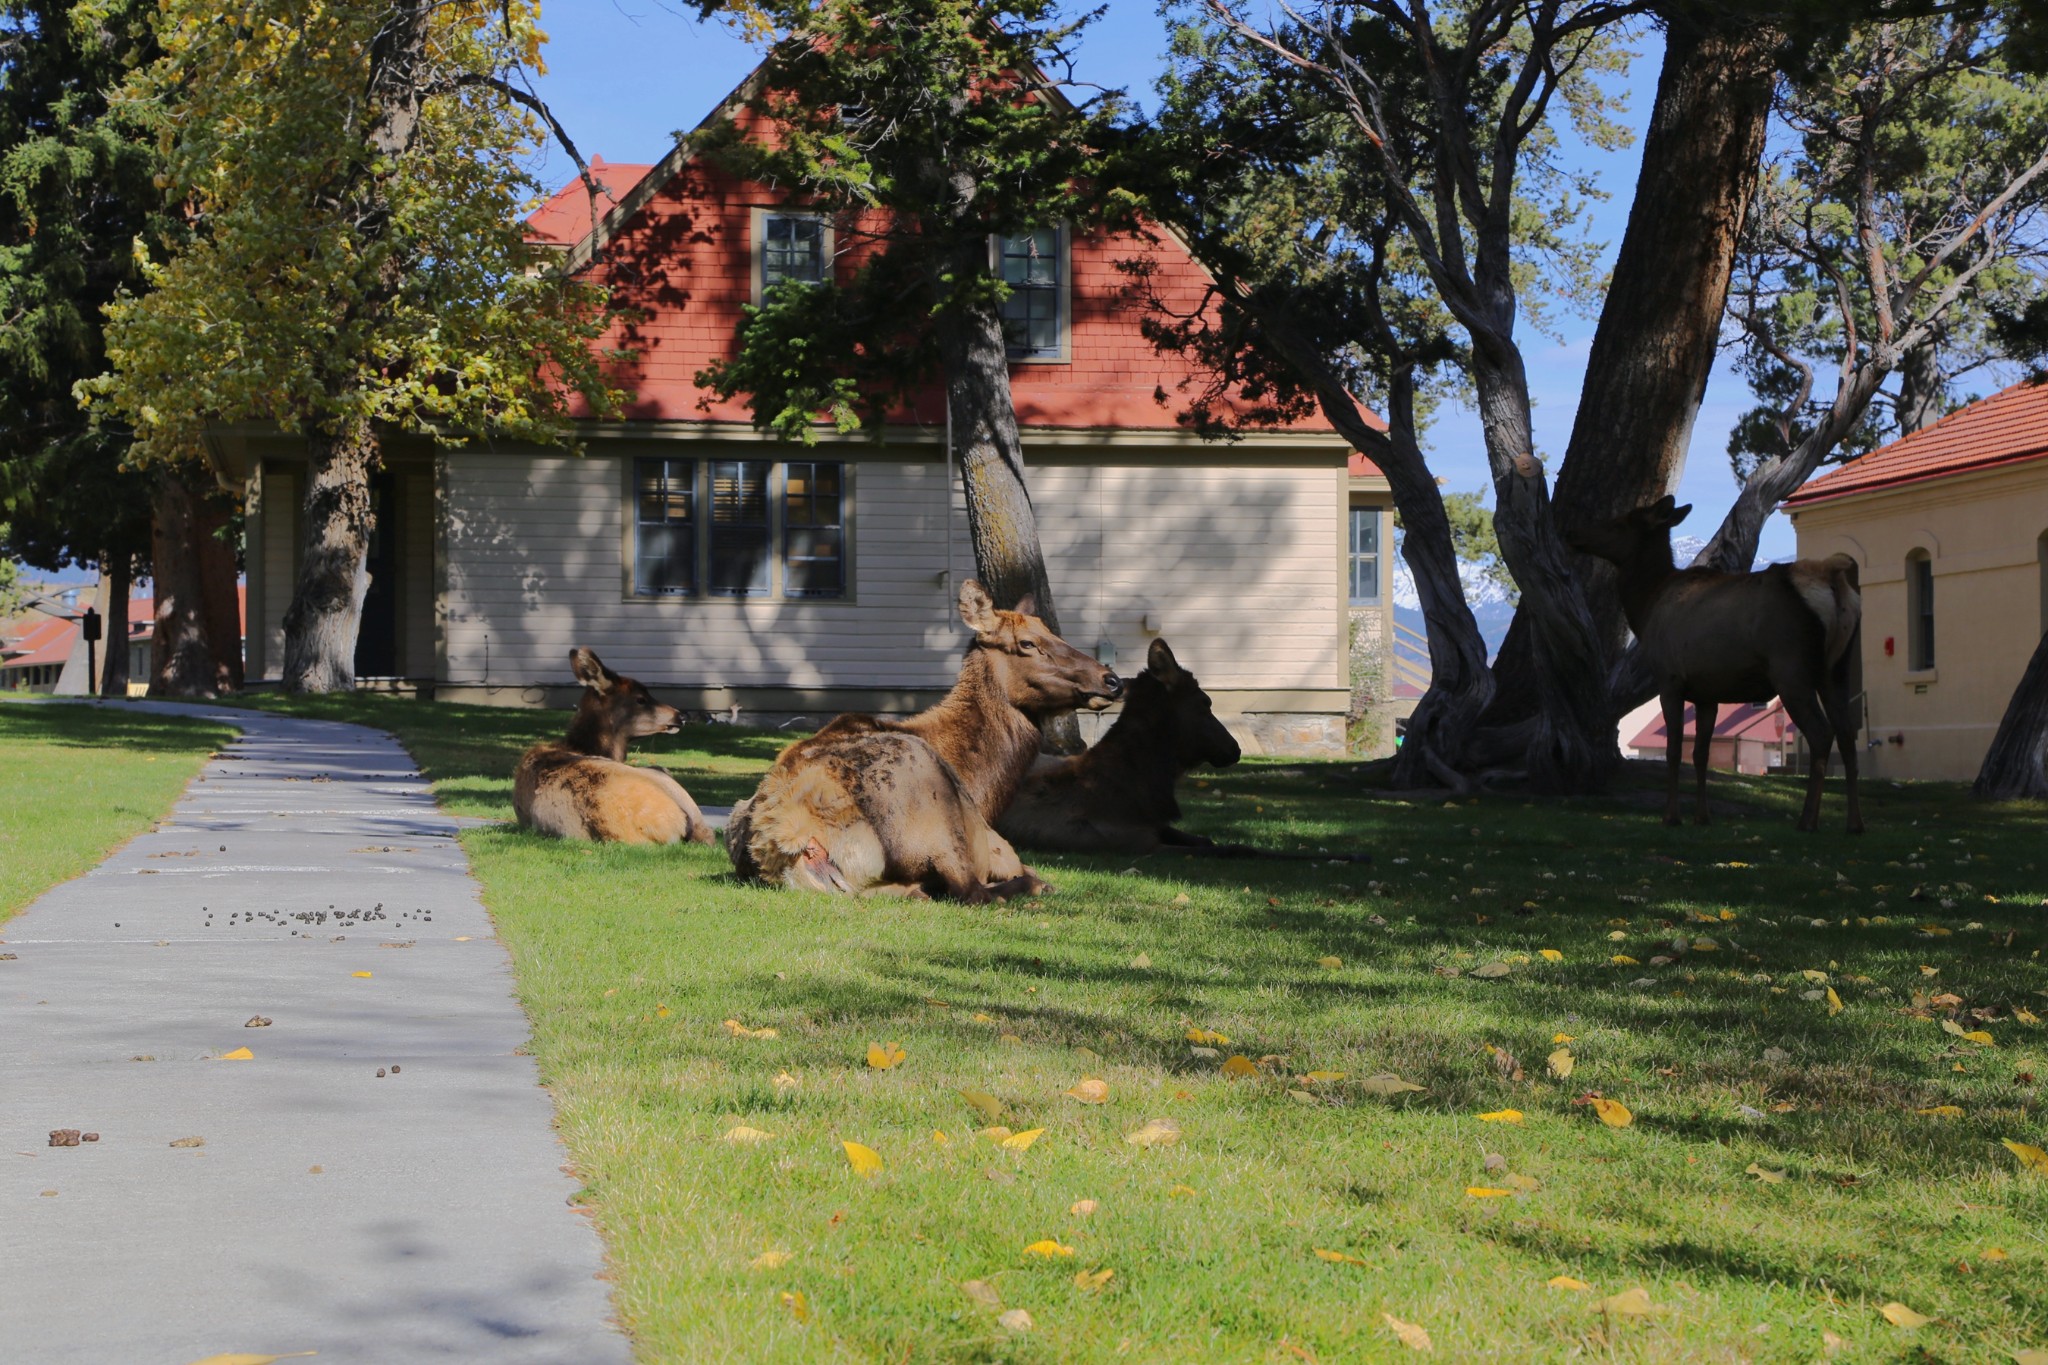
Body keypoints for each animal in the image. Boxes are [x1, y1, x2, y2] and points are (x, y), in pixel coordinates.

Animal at [729, 581, 1130, 900]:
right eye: (1028, 643)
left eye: (1055, 633)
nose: (1112, 680)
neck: (985, 787)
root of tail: (789, 835)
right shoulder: (996, 845)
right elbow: (1026, 873)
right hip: (934, 821)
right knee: (976, 892)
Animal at [1556, 491, 1867, 834]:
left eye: (1619, 522)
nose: (1572, 533)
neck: (1646, 606)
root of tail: (1835, 586)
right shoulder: (1707, 693)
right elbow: (1700, 753)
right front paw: (1702, 816)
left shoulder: (1669, 679)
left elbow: (1674, 750)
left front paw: (1672, 816)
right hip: (1837, 669)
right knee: (1847, 735)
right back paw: (1854, 823)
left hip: (1791, 667)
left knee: (1822, 734)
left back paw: (1808, 820)